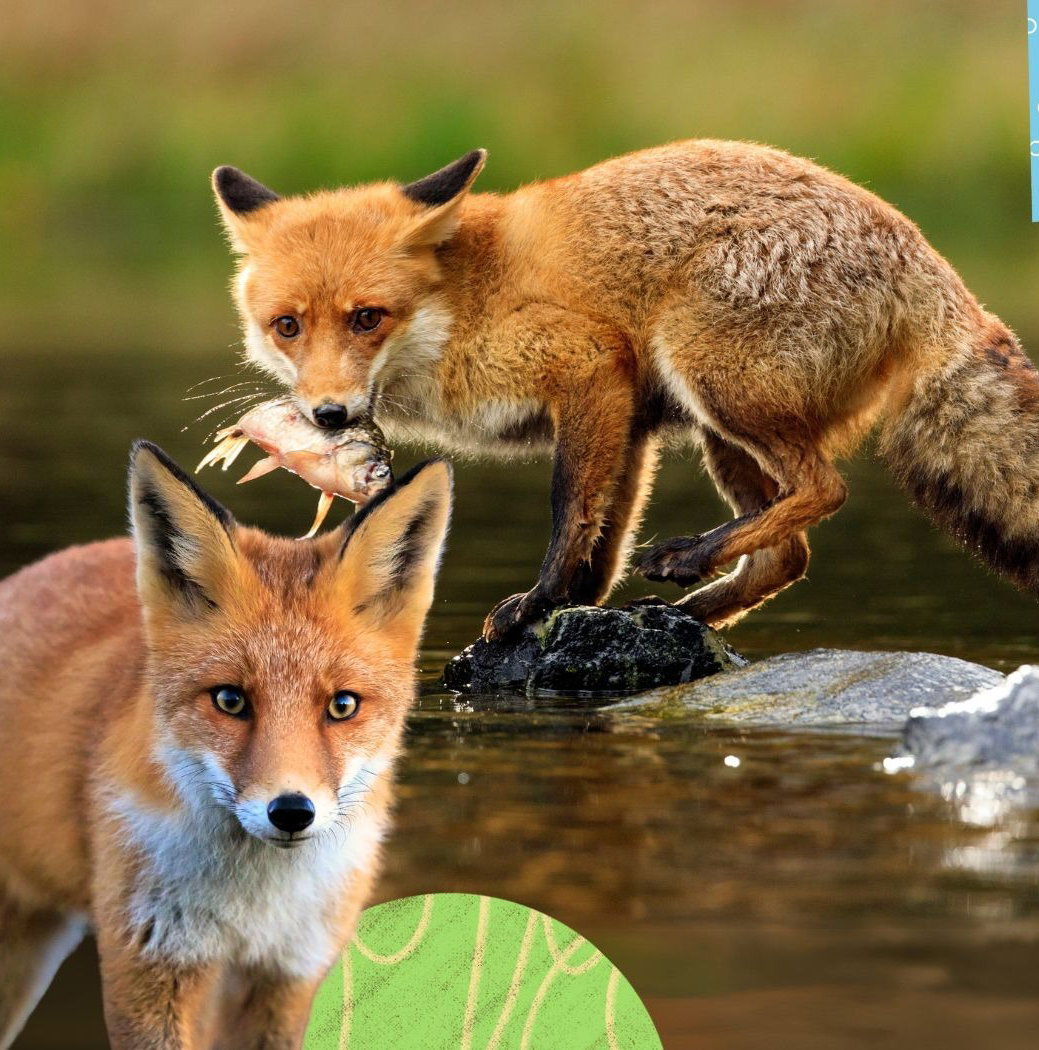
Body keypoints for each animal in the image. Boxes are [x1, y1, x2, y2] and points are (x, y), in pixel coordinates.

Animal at [0, 443, 452, 1049]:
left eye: (342, 706)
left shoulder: (288, 972)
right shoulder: (151, 960)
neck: (254, 906)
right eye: (231, 700)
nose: (291, 812)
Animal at [210, 139, 1039, 641]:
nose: (328, 414)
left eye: (367, 318)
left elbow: (569, 507)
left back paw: (690, 558)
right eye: (287, 326)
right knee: (789, 552)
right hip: (715, 430)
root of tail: (929, 263)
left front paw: (540, 602)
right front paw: (574, 602)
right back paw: (694, 605)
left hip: (712, 381)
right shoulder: (630, 415)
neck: (461, 303)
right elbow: (603, 539)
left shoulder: (588, 366)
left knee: (823, 490)